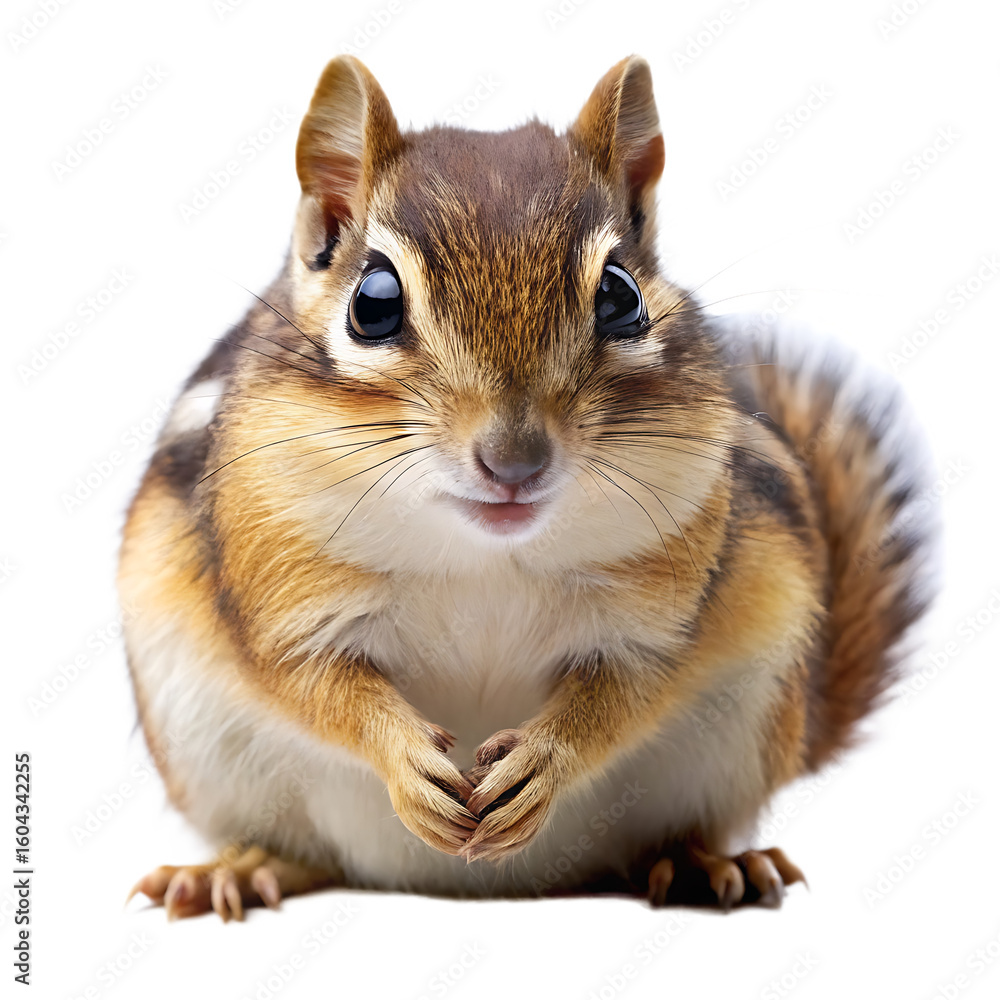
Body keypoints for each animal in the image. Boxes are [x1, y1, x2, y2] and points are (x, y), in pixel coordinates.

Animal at [121, 54, 935, 920]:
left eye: (621, 296)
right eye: (373, 304)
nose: (513, 462)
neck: (483, 557)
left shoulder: (661, 617)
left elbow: (628, 691)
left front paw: (546, 760)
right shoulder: (279, 603)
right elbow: (317, 686)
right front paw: (405, 759)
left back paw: (701, 863)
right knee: (301, 852)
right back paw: (234, 868)